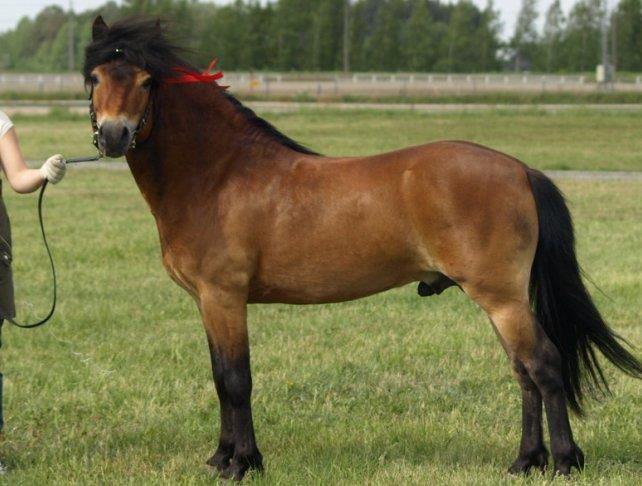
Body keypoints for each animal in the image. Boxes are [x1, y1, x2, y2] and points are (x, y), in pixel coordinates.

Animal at [83, 17, 641, 481]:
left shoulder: (224, 297)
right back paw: (525, 461)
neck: (219, 174)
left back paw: (564, 462)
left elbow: (236, 380)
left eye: (147, 82)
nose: (113, 136)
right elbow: (220, 377)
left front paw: (242, 463)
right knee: (523, 372)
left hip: (501, 298)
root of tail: (520, 168)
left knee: (543, 365)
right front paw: (222, 457)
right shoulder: (207, 302)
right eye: (94, 78)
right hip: (502, 302)